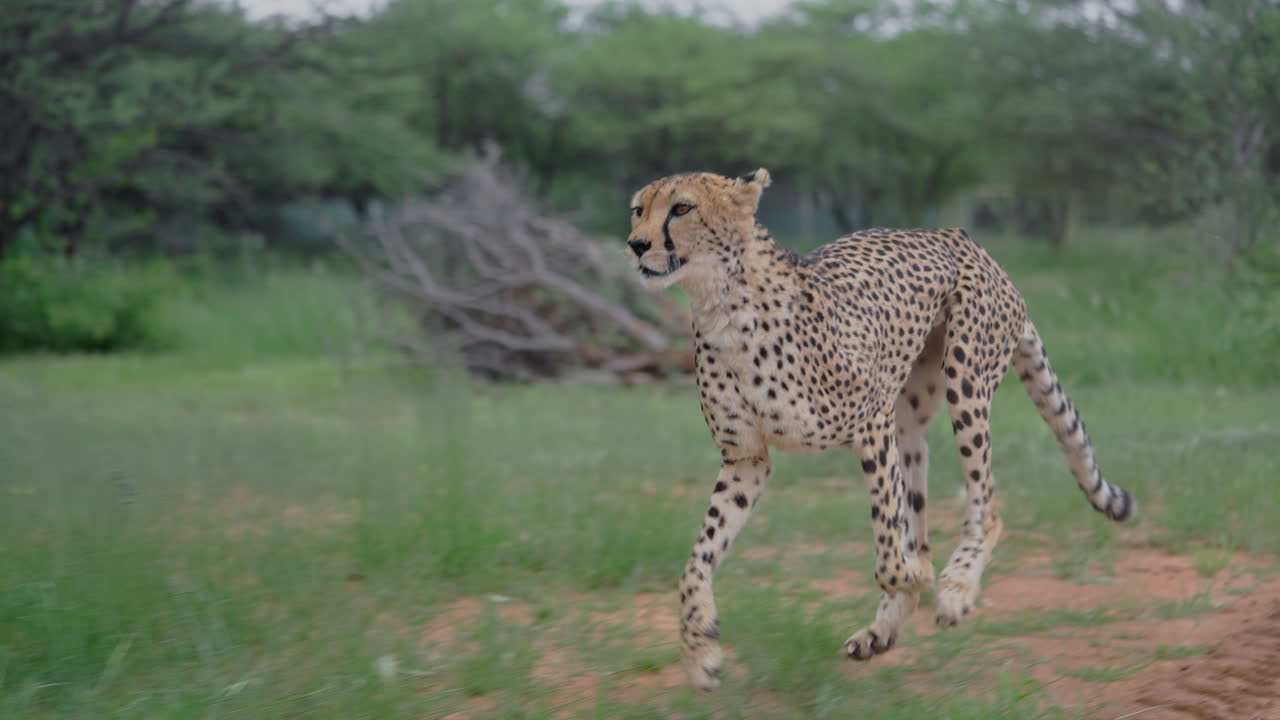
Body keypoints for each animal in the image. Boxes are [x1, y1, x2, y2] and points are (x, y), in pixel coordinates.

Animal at [625, 168, 1136, 692]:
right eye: (638, 209)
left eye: (682, 208)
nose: (636, 244)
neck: (722, 305)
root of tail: (958, 236)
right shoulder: (746, 459)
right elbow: (698, 557)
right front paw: (701, 648)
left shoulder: (872, 424)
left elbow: (890, 552)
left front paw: (923, 579)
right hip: (910, 417)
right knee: (922, 522)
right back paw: (884, 629)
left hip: (965, 382)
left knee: (986, 508)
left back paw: (955, 587)